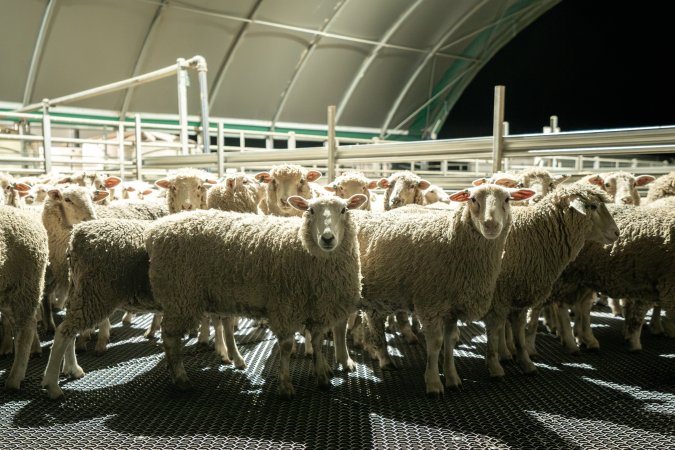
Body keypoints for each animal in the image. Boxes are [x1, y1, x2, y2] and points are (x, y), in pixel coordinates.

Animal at [144, 193, 370, 398]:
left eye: (344, 210)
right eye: (310, 210)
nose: (327, 238)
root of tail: (154, 232)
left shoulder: (319, 307)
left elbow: (317, 342)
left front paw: (322, 377)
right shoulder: (285, 306)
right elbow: (286, 346)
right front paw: (285, 385)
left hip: (206, 294)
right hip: (180, 295)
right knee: (170, 336)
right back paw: (181, 378)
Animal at [356, 185, 536, 396]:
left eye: (507, 199)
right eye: (473, 199)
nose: (491, 225)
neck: (451, 240)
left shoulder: (452, 308)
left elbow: (450, 342)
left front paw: (452, 378)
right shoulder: (430, 304)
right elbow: (435, 344)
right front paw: (434, 383)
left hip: (378, 295)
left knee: (371, 319)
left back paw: (378, 353)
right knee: (375, 323)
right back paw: (384, 359)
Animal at [484, 185, 620, 378]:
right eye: (592, 206)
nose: (617, 233)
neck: (536, 233)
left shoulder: (518, 289)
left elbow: (517, 328)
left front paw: (523, 360)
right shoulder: (500, 293)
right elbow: (496, 328)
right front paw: (495, 365)